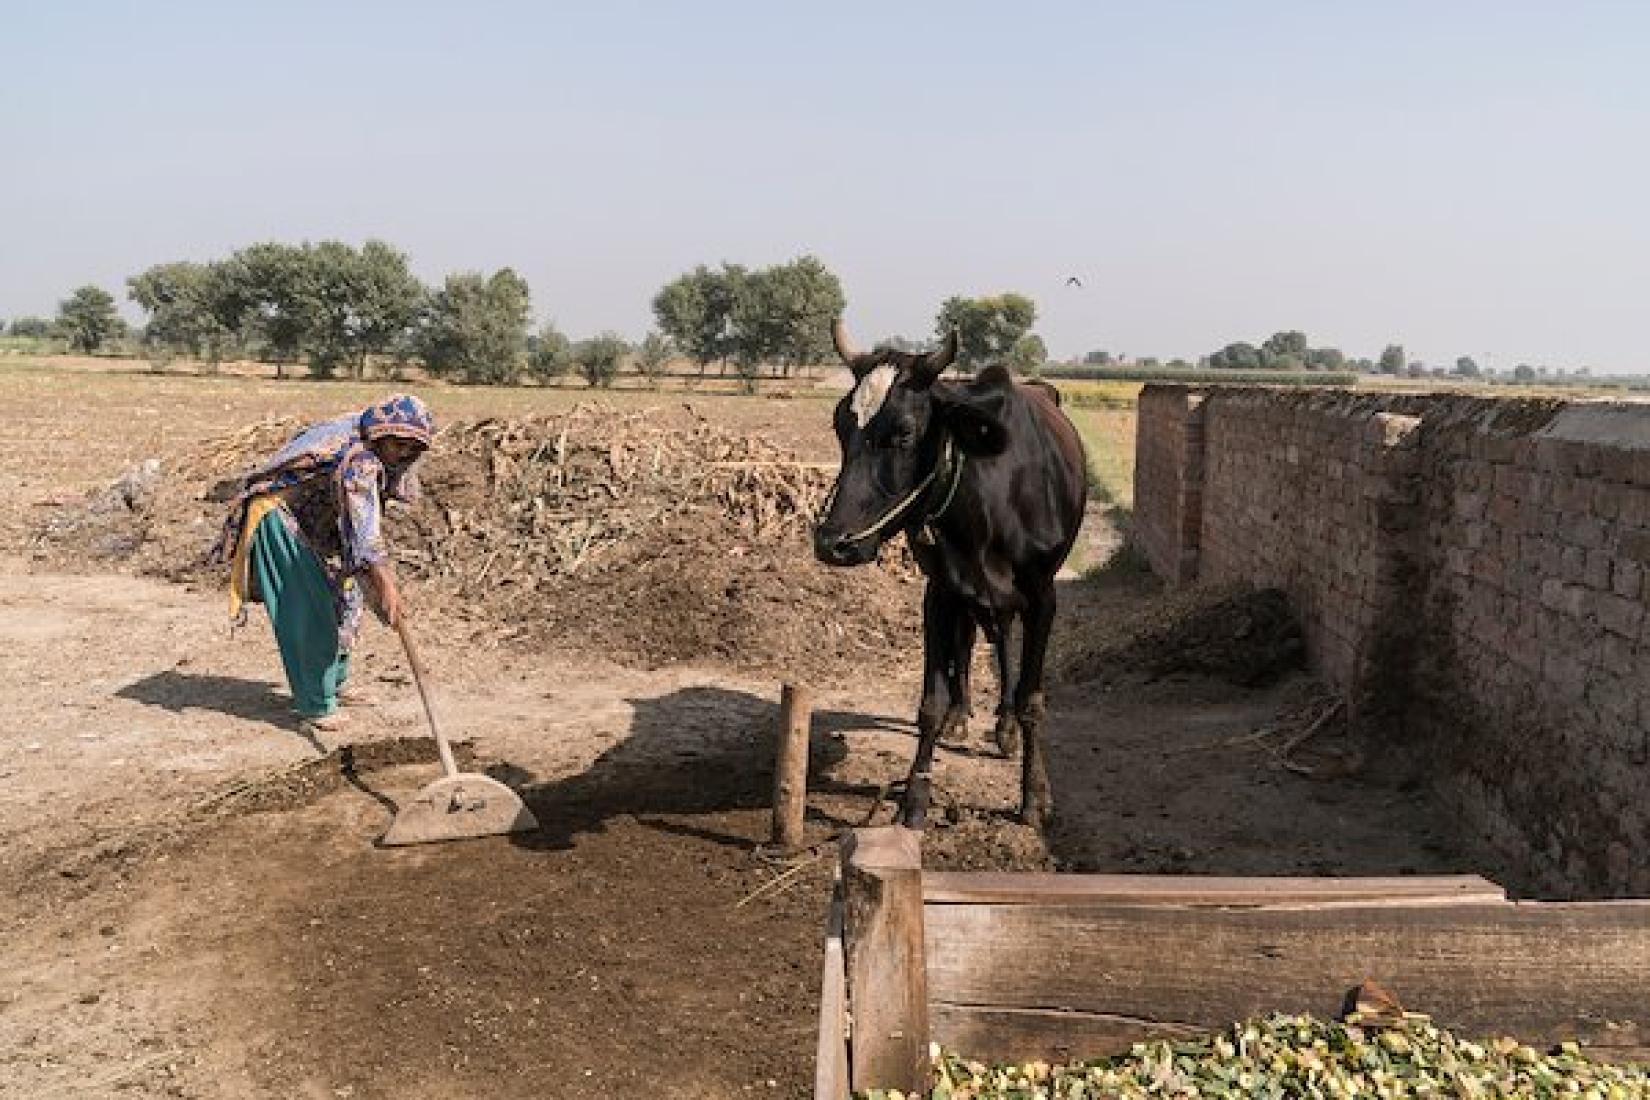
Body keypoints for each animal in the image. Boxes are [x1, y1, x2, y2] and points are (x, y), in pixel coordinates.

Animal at [808, 318, 1082, 824]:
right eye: (840, 425)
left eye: (904, 433)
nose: (833, 543)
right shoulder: (939, 591)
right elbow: (930, 702)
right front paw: (915, 798)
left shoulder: (1043, 597)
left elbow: (1033, 701)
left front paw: (1034, 795)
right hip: (967, 595)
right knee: (974, 642)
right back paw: (964, 714)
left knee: (1003, 647)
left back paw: (1005, 726)